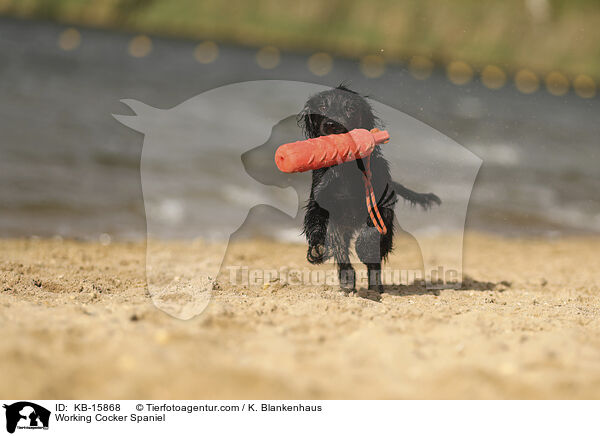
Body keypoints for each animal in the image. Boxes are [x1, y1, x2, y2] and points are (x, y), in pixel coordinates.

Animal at [296, 84, 440, 292]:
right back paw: (347, 281)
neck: (345, 170)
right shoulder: (321, 201)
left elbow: (372, 233)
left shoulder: (381, 204)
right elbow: (321, 228)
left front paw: (364, 248)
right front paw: (317, 248)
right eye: (322, 107)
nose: (331, 124)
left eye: (350, 108)